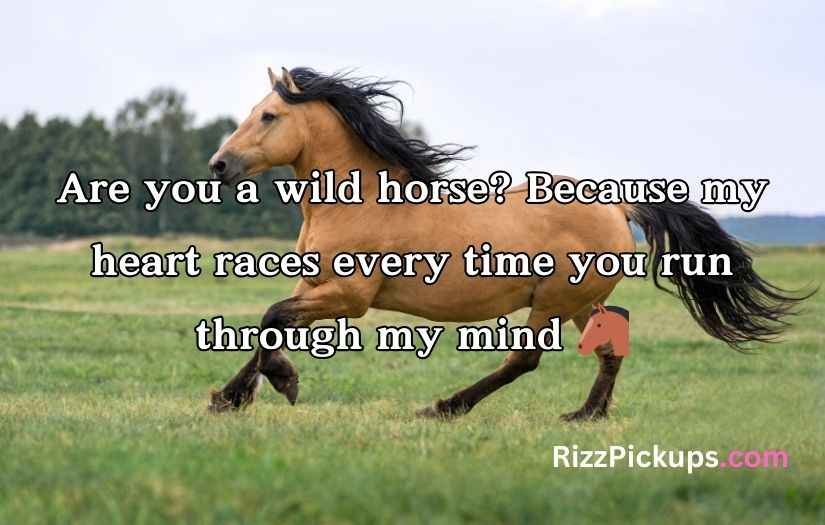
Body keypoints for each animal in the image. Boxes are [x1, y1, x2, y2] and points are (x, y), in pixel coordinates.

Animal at [205, 66, 806, 420]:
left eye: (269, 115)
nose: (219, 165)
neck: (360, 199)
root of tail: (619, 206)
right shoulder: (316, 287)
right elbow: (270, 325)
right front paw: (229, 397)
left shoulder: (348, 297)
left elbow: (272, 317)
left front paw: (277, 384)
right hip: (580, 301)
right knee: (613, 341)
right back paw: (586, 415)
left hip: (553, 302)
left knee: (525, 359)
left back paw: (445, 408)